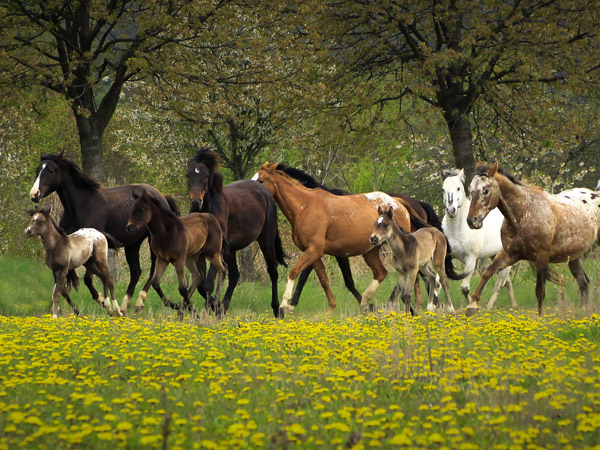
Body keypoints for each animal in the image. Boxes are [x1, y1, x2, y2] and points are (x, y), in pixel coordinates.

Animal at [29, 153, 180, 312]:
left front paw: (103, 301)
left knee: (152, 271)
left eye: (51, 170)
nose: (34, 194)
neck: (83, 206)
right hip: (132, 244)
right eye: (38, 170)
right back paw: (125, 306)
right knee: (136, 272)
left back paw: (140, 303)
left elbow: (88, 279)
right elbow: (66, 283)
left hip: (152, 241)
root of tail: (162, 196)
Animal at [438, 169, 516, 310]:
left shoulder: (471, 259)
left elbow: (464, 288)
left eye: (458, 188)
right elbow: (439, 283)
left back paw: (489, 307)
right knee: (506, 283)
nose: (451, 210)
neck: (457, 229)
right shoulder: (445, 257)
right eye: (443, 189)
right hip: (495, 256)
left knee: (499, 285)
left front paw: (472, 305)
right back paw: (514, 305)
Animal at [468, 163, 600, 314]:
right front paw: (471, 306)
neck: (524, 214)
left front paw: (540, 316)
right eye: (470, 190)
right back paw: (583, 311)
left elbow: (540, 291)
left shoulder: (541, 256)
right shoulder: (509, 254)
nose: (471, 221)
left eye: (486, 190)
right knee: (583, 282)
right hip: (573, 256)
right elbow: (487, 273)